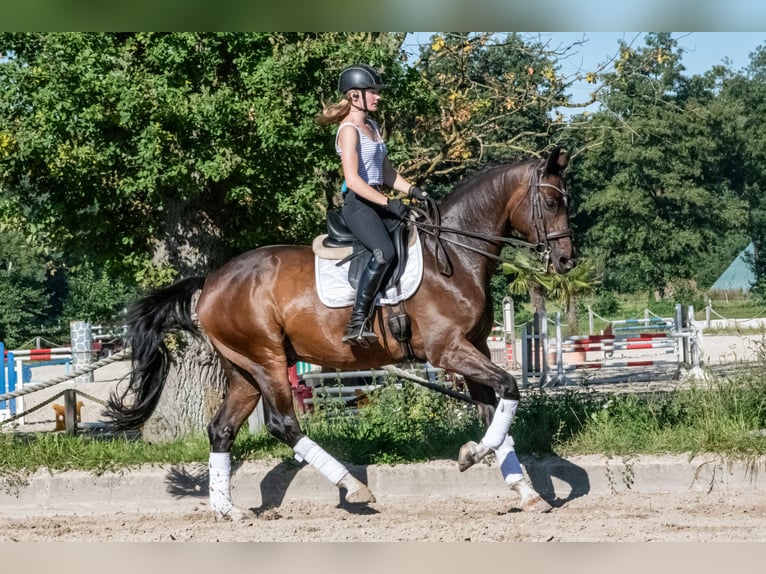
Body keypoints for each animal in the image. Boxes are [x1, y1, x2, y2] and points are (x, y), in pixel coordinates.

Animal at [105, 146, 580, 520]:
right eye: (550, 202)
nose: (566, 262)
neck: (454, 257)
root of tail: (211, 281)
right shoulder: (448, 349)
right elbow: (509, 389)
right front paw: (472, 456)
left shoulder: (474, 347)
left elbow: (495, 411)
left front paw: (524, 491)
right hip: (268, 359)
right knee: (282, 423)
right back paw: (354, 486)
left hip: (243, 369)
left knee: (221, 430)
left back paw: (227, 510)